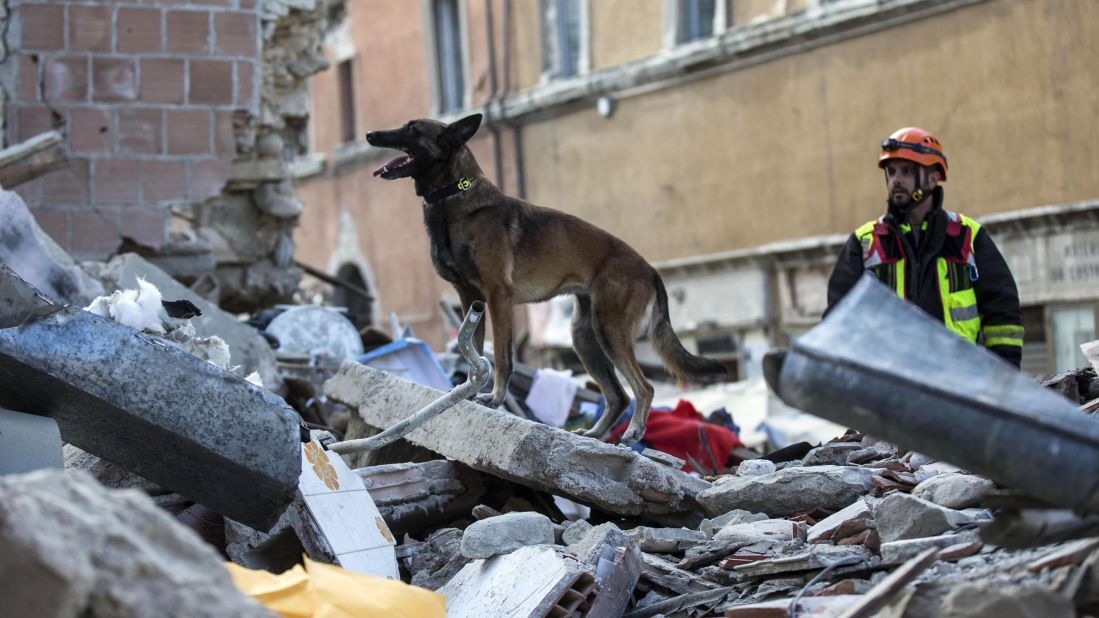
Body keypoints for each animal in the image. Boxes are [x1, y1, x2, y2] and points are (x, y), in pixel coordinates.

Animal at [367, 114, 729, 442]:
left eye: (412, 128)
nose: (370, 134)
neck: (454, 195)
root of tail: (650, 269)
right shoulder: (470, 298)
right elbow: (474, 351)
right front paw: (468, 390)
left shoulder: (497, 297)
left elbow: (502, 357)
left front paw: (495, 398)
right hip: (584, 337)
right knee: (617, 395)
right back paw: (594, 435)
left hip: (608, 331)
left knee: (644, 387)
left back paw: (635, 430)